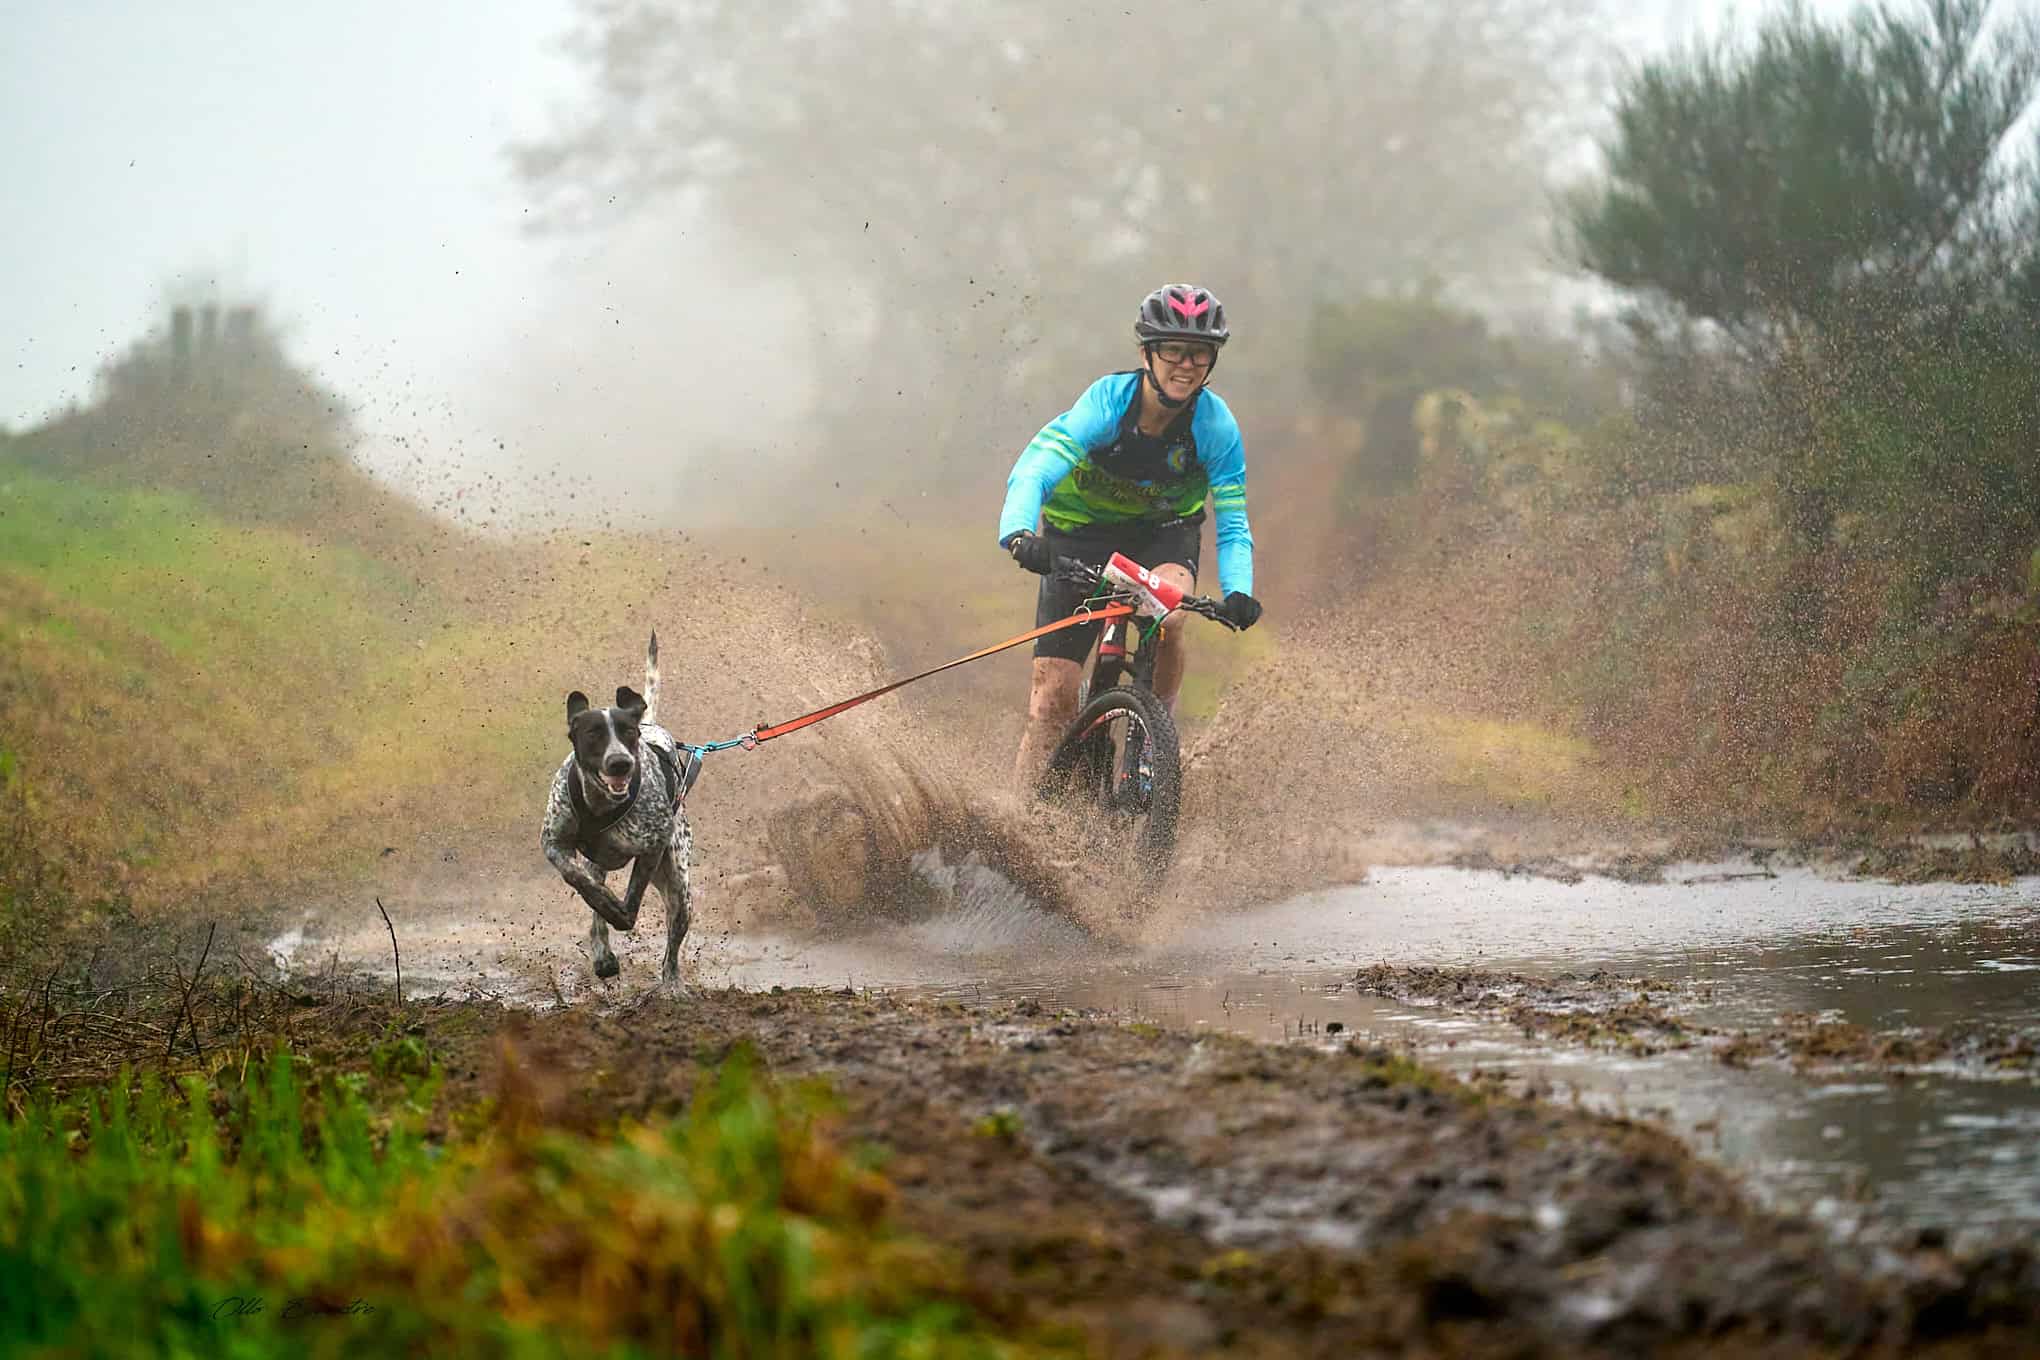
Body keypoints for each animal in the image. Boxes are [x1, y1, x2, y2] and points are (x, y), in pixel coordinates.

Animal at [542, 632, 701, 982]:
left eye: (628, 732)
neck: (602, 806)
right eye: (593, 734)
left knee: (673, 947)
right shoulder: (554, 843)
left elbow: (631, 899)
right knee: (595, 903)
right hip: (603, 864)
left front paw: (620, 913)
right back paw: (603, 953)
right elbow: (579, 879)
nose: (620, 763)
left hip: (679, 887)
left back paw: (671, 985)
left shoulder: (653, 847)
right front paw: (603, 905)